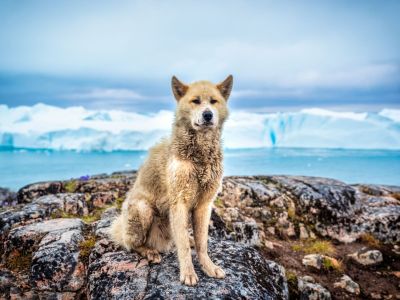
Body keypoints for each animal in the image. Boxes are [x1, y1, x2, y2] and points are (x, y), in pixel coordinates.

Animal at [111, 75, 233, 286]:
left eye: (214, 101)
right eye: (196, 101)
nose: (208, 115)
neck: (199, 156)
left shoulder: (204, 205)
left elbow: (202, 243)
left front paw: (208, 267)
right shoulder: (180, 203)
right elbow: (182, 246)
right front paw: (188, 273)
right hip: (142, 210)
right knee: (132, 244)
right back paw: (149, 252)